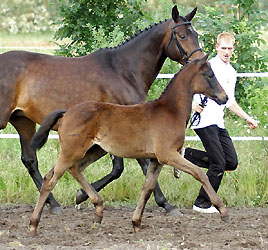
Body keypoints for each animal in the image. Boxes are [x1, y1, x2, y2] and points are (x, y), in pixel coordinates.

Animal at [30, 53, 229, 236]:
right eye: (210, 75)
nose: (225, 97)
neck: (170, 111)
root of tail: (67, 113)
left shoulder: (157, 160)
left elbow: (147, 188)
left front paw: (136, 222)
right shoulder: (168, 155)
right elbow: (199, 173)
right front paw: (222, 211)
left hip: (94, 150)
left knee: (74, 169)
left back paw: (97, 210)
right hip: (72, 151)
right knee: (50, 179)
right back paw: (33, 224)